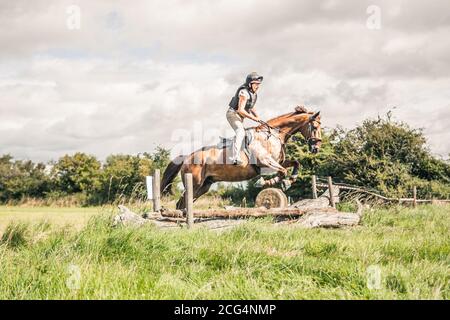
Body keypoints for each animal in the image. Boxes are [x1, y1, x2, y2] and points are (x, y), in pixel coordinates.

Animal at [160, 105, 322, 210]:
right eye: (315, 127)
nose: (316, 148)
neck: (273, 135)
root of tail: (187, 157)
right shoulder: (265, 162)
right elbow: (282, 172)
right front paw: (267, 183)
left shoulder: (279, 161)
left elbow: (295, 163)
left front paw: (289, 180)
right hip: (194, 183)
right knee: (181, 203)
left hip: (204, 186)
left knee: (184, 203)